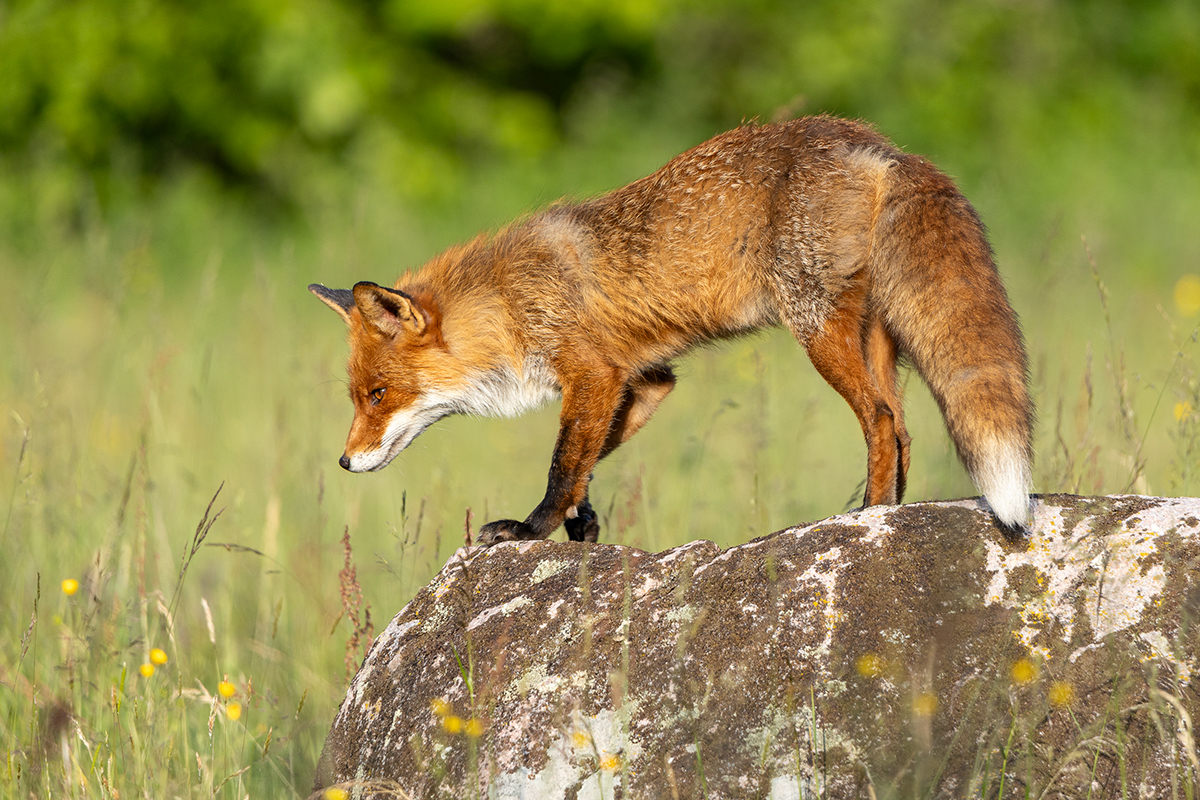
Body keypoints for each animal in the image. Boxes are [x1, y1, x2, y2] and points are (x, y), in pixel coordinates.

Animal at [310, 115, 1034, 545]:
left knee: (881, 419)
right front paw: (580, 522)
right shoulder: (646, 379)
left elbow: (563, 461)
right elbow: (590, 458)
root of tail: (879, 143)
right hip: (873, 335)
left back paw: (870, 516)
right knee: (903, 427)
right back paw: (894, 509)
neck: (508, 303)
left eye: (377, 395)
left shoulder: (593, 373)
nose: (343, 461)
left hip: (817, 329)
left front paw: (530, 527)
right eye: (357, 398)